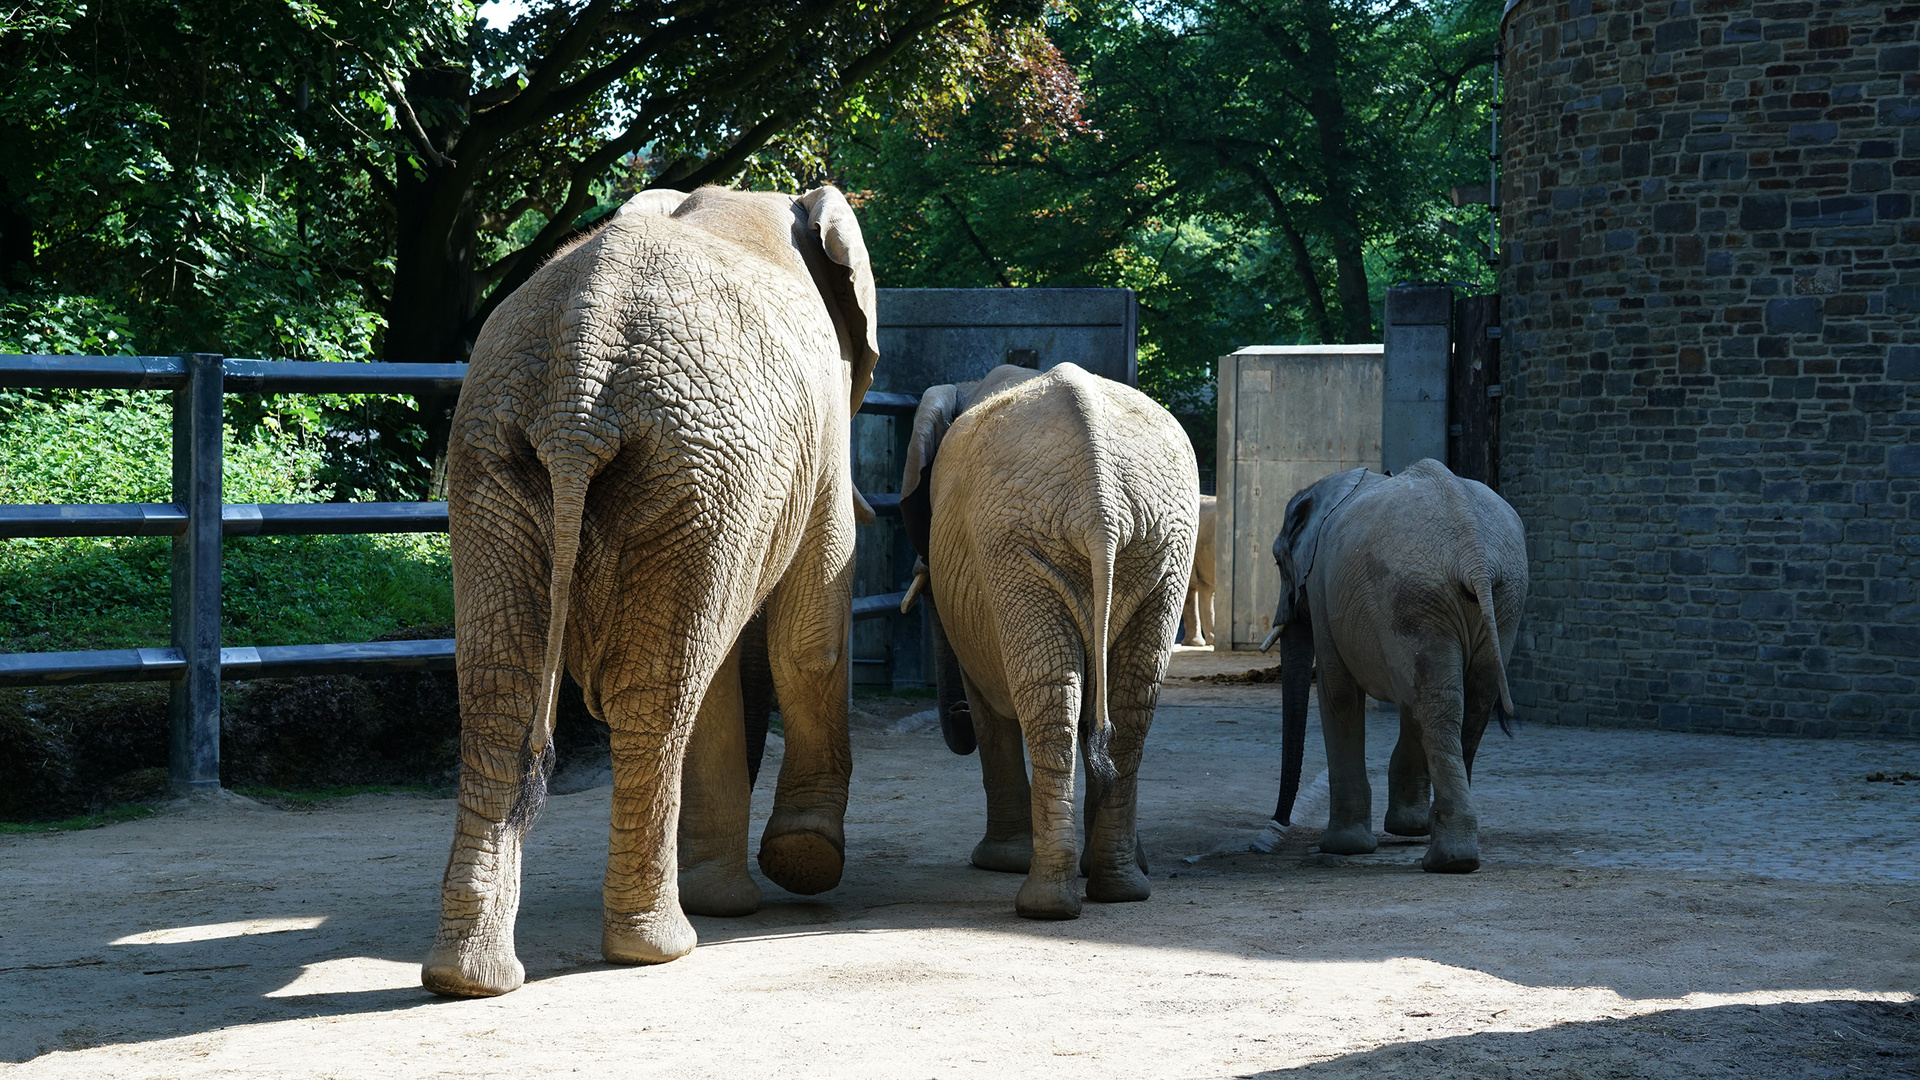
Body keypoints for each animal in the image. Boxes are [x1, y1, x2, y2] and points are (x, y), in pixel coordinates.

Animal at [424, 182, 879, 991]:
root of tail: (580, 371)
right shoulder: (820, 441)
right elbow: (810, 641)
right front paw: (802, 863)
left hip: (498, 453)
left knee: (502, 689)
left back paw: (467, 979)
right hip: (693, 465)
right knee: (662, 688)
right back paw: (661, 946)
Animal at [902, 361, 1198, 914]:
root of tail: (1101, 507)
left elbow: (988, 707)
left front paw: (996, 863)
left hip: (1016, 544)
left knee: (1049, 697)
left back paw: (1043, 905)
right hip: (1157, 546)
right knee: (1128, 703)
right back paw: (1119, 889)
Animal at [1259, 457, 1528, 868]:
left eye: (1277, 560)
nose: (1279, 823)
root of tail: (1474, 554)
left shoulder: (1322, 587)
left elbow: (1338, 693)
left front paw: (1344, 847)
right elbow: (1408, 699)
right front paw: (1406, 829)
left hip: (1414, 593)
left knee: (1437, 705)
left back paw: (1448, 860)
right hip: (1496, 598)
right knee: (1465, 702)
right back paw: (1449, 851)